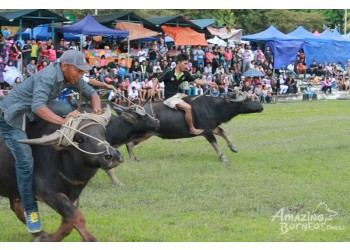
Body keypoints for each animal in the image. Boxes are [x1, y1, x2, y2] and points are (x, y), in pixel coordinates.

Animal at [124, 92, 264, 162]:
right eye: (247, 100)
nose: (261, 106)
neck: (214, 107)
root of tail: (136, 109)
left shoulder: (212, 127)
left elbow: (223, 132)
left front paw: (233, 147)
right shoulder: (206, 130)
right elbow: (214, 142)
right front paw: (222, 156)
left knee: (130, 143)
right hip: (145, 134)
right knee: (129, 143)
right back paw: (132, 159)